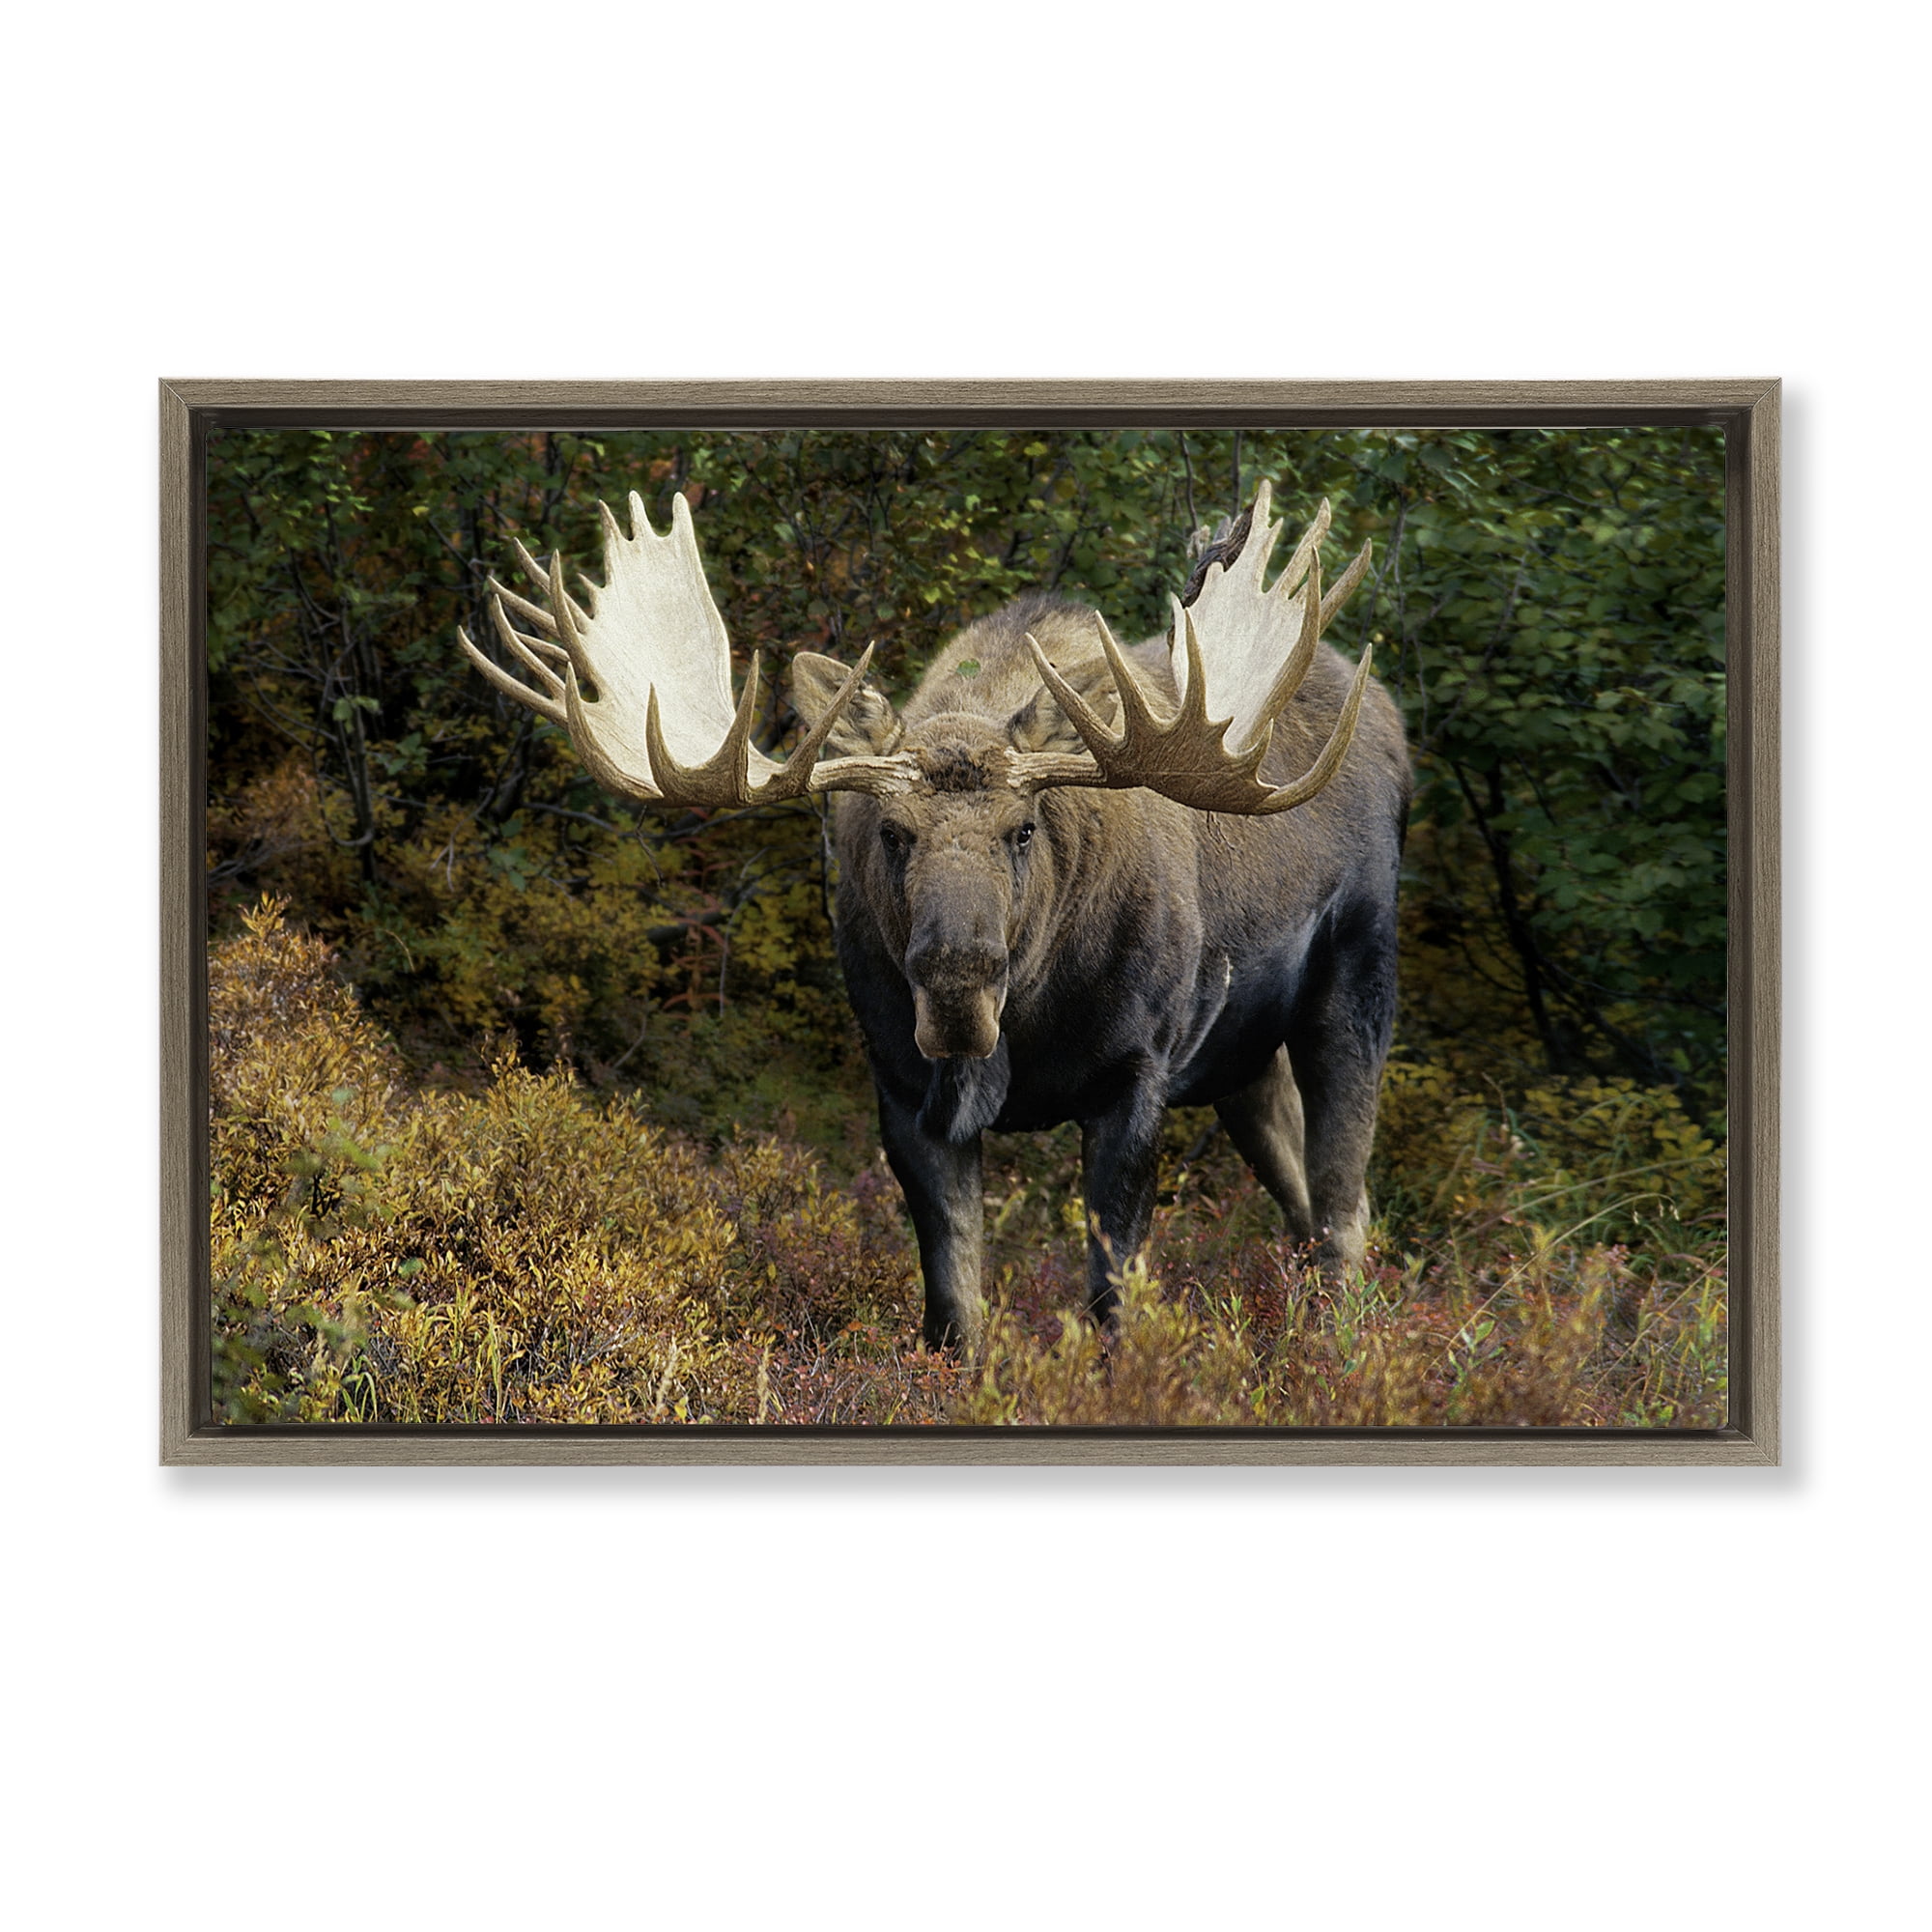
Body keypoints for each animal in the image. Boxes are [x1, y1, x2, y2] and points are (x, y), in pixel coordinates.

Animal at [461, 481, 1411, 1348]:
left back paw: (1340, 1352)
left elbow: (1114, 1304)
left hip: (1355, 979)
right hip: (1240, 1059)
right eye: (892, 831)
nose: (958, 986)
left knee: (1345, 1205)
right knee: (1302, 1193)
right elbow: (954, 1310)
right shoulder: (902, 1089)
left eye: (1024, 828)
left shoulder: (1136, 1075)